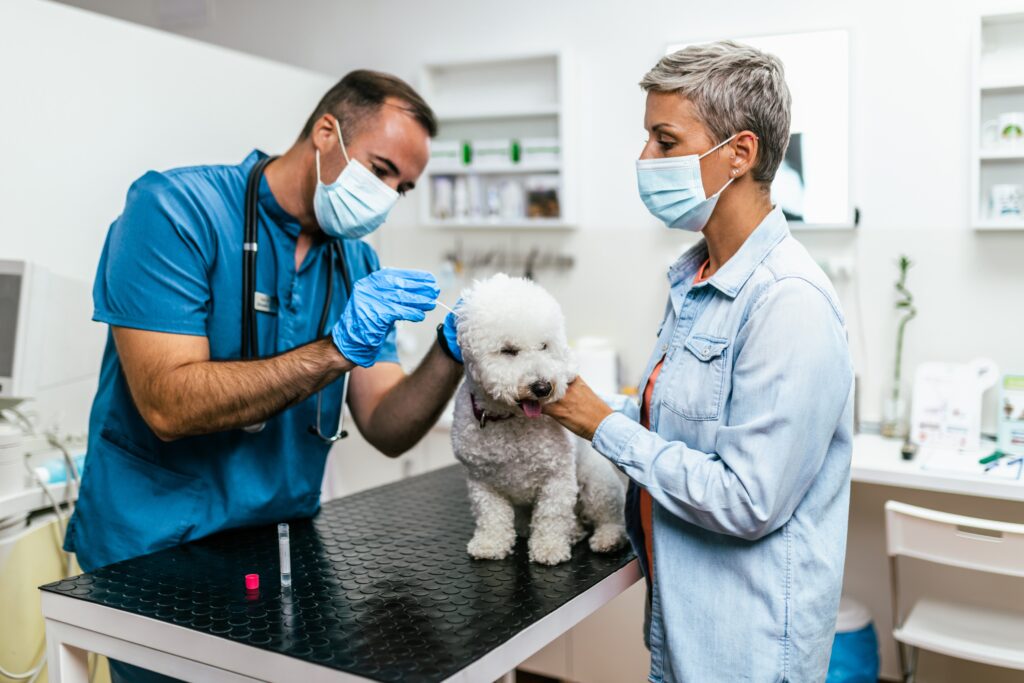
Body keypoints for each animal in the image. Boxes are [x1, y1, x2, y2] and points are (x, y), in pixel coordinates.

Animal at [452, 272, 626, 565]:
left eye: (544, 346)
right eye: (508, 350)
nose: (543, 387)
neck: (509, 420)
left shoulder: (557, 477)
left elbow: (551, 516)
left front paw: (549, 548)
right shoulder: (481, 481)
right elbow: (490, 515)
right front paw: (490, 544)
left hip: (596, 483)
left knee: (608, 515)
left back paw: (607, 538)